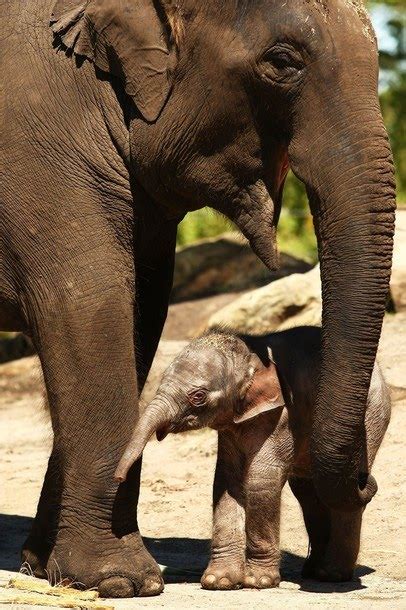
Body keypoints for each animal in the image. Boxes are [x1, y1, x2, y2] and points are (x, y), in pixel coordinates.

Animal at [115, 326, 390, 588]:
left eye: (198, 396)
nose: (118, 478)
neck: (251, 357)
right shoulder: (232, 426)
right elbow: (227, 480)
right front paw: (219, 582)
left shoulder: (281, 416)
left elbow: (261, 478)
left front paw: (259, 582)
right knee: (308, 491)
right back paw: (314, 571)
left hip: (372, 414)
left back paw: (332, 574)